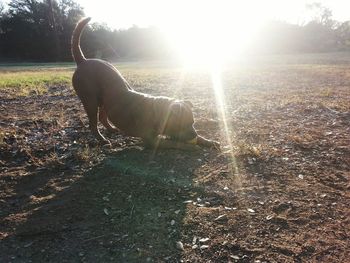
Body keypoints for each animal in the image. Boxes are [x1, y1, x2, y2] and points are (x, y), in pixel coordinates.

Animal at [71, 17, 219, 151]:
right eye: (182, 124)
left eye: (193, 123)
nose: (194, 134)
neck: (156, 112)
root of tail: (83, 61)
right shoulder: (152, 141)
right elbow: (174, 143)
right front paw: (193, 146)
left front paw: (208, 141)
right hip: (90, 101)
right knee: (93, 124)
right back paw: (102, 139)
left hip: (104, 101)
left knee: (103, 117)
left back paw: (112, 129)